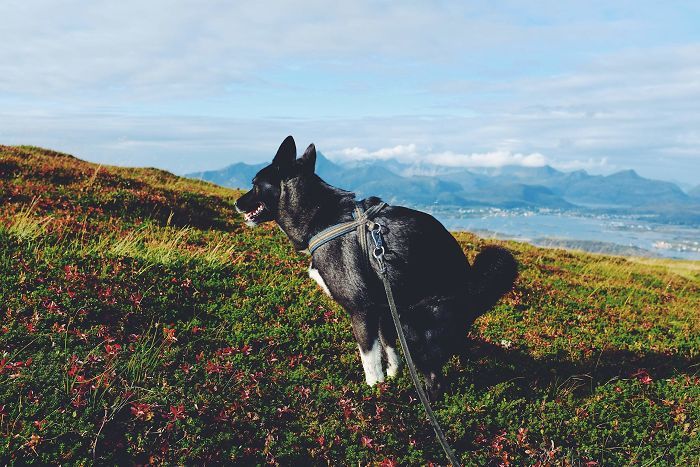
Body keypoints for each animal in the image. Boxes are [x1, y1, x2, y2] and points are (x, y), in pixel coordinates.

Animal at [238, 135, 516, 398]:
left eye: (254, 183)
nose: (237, 203)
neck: (320, 217)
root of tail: (472, 287)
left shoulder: (361, 311)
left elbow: (369, 359)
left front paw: (374, 391)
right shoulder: (383, 310)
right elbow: (390, 350)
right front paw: (391, 380)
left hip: (413, 326)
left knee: (435, 381)